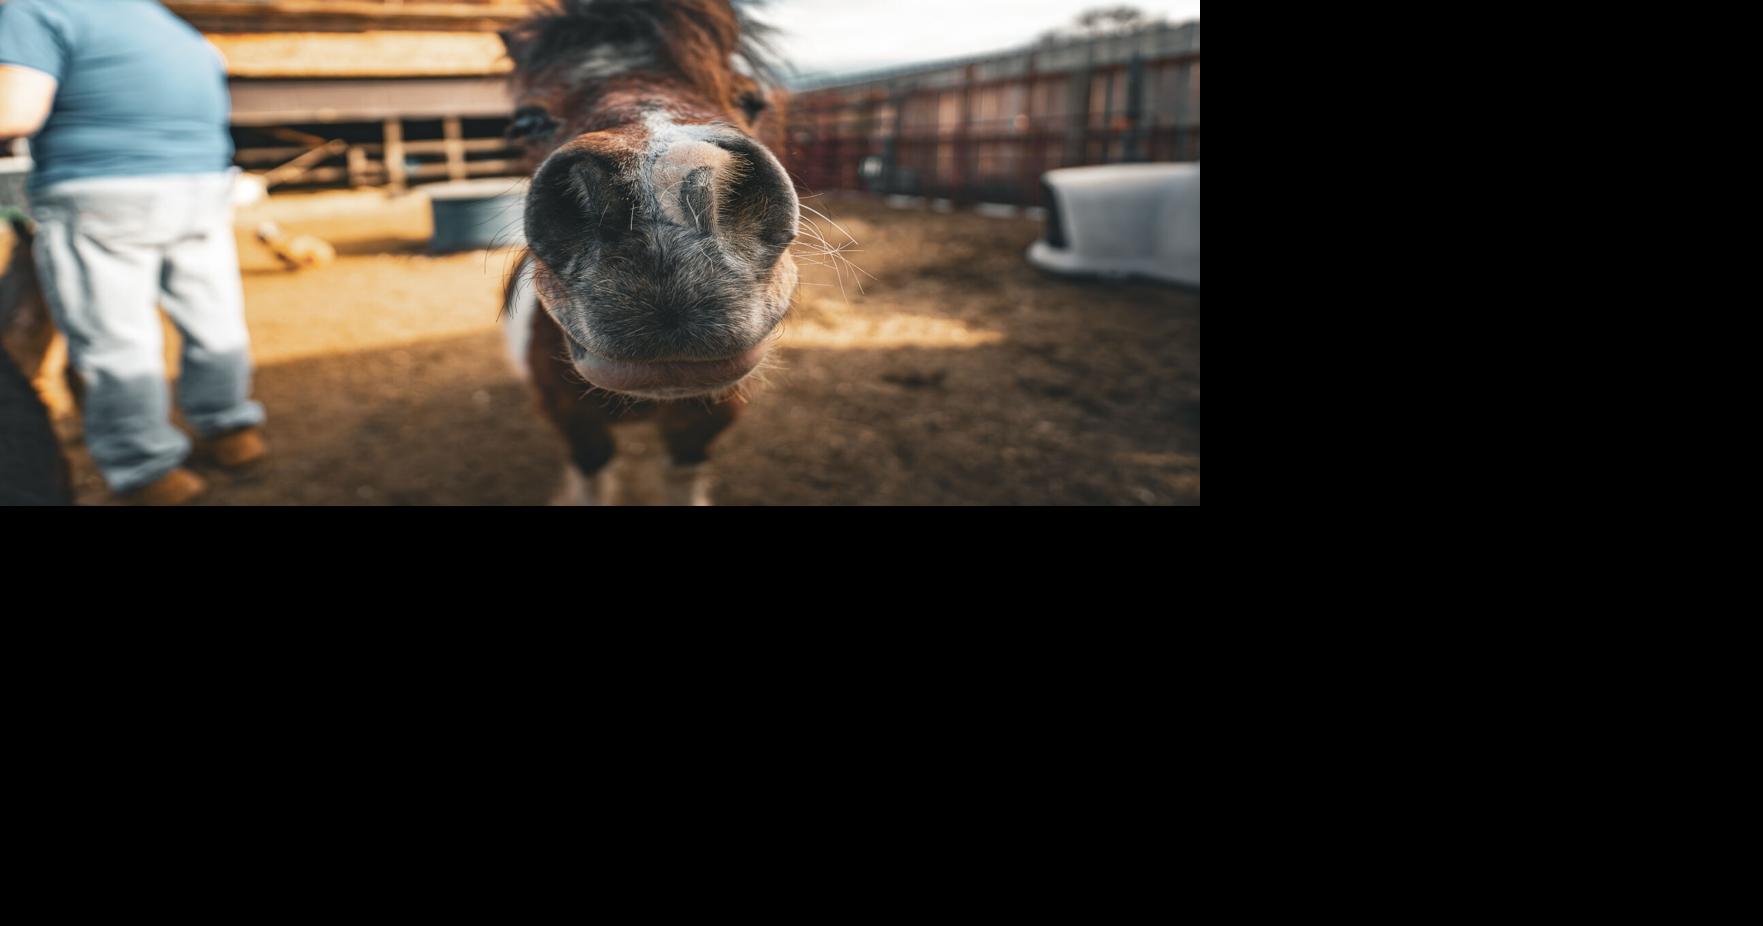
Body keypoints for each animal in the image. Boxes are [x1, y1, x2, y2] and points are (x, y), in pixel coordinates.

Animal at [498, 0, 799, 506]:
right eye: (526, 122)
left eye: (751, 101)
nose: (662, 204)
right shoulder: (573, 422)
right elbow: (592, 476)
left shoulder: (705, 422)